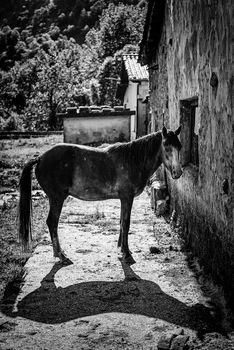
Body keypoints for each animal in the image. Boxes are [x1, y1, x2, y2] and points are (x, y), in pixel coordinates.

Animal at [18, 124, 183, 264]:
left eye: (179, 147)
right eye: (166, 146)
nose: (178, 172)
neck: (133, 160)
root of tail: (40, 158)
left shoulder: (123, 199)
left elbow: (121, 222)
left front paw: (121, 249)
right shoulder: (127, 198)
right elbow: (126, 223)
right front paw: (127, 253)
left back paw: (58, 254)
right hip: (57, 198)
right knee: (52, 222)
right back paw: (61, 255)